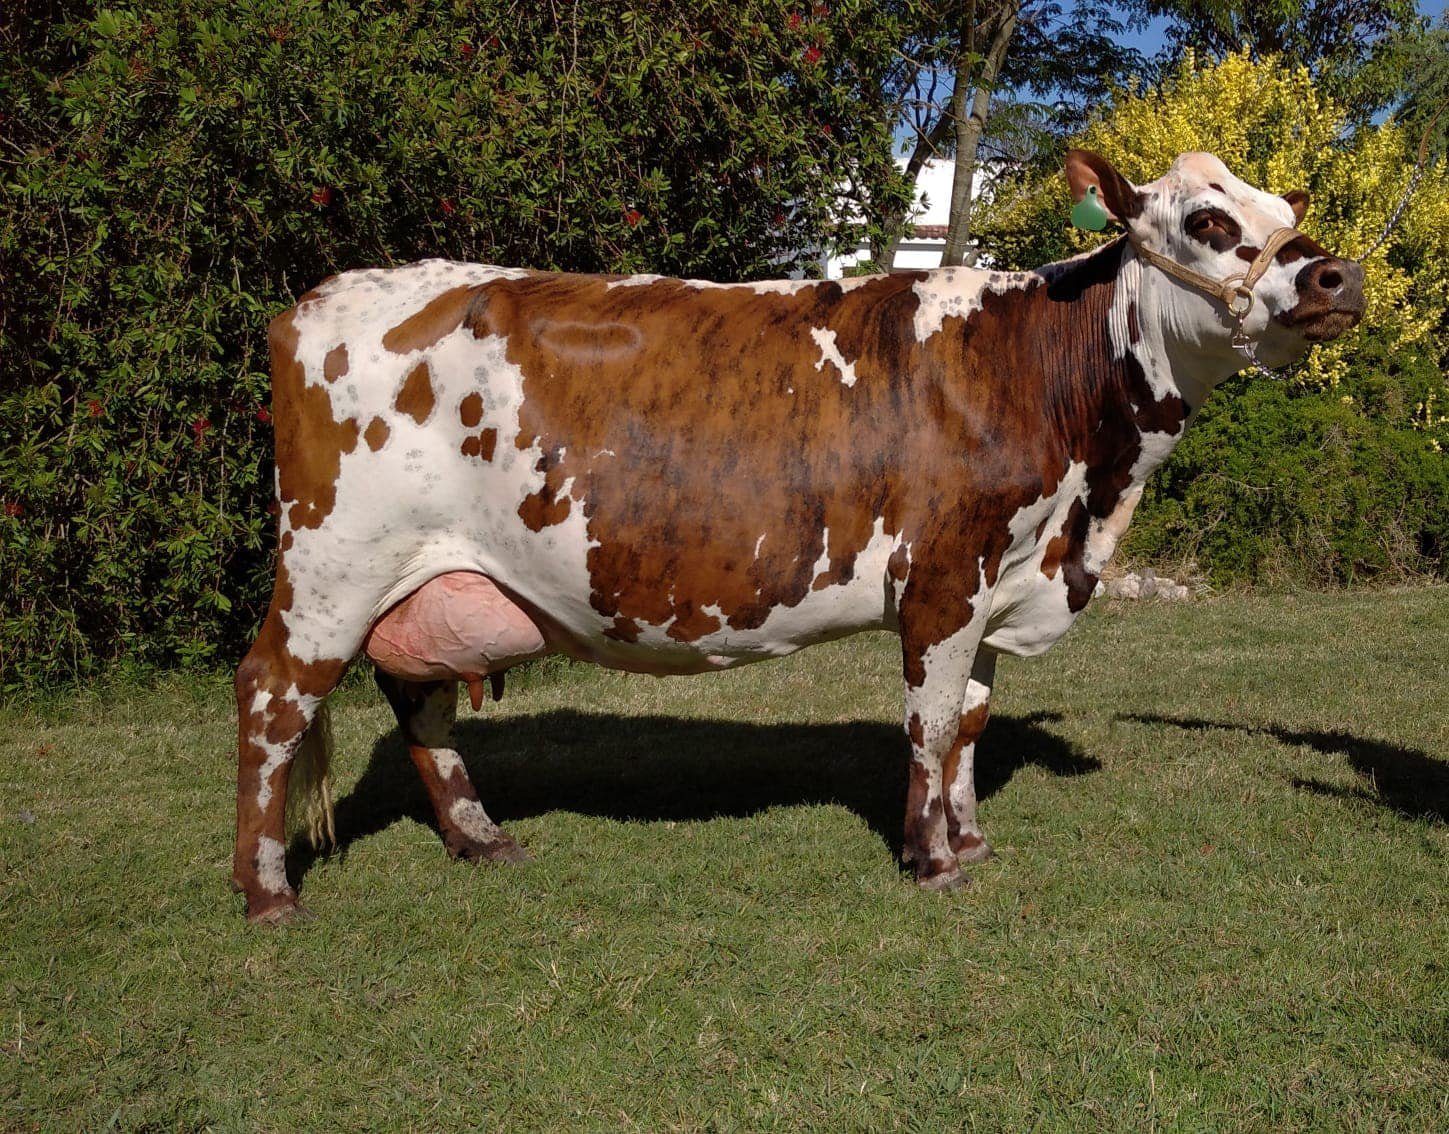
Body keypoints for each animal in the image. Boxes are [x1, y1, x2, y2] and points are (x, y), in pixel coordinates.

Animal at [233, 149, 1364, 923]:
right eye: (1208, 219)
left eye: (1287, 212)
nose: (1337, 278)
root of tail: (319, 299)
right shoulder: (944, 576)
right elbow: (930, 722)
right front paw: (932, 861)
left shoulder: (1000, 579)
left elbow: (973, 719)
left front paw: (971, 839)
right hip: (331, 568)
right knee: (272, 701)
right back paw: (266, 890)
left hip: (421, 577)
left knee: (417, 701)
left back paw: (480, 839)